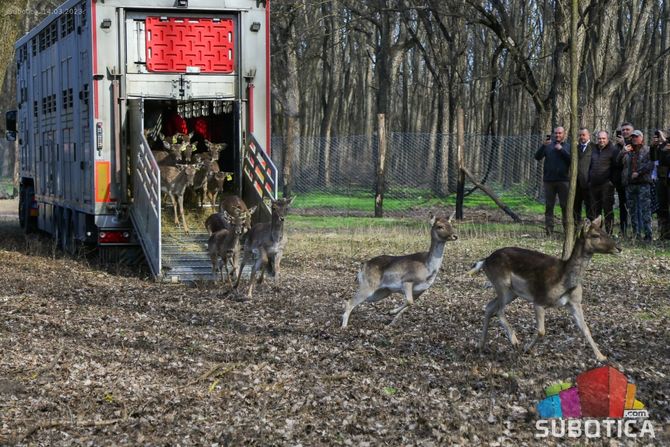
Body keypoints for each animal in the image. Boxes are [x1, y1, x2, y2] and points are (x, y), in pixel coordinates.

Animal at [470, 217, 624, 364]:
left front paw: (601, 356)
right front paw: (526, 348)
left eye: (605, 232)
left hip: (511, 293)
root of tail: (484, 261)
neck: (564, 281)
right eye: (595, 235)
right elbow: (542, 331)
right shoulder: (539, 300)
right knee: (499, 311)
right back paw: (514, 341)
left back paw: (480, 345)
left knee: (490, 306)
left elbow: (585, 328)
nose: (619, 248)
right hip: (501, 283)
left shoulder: (575, 302)